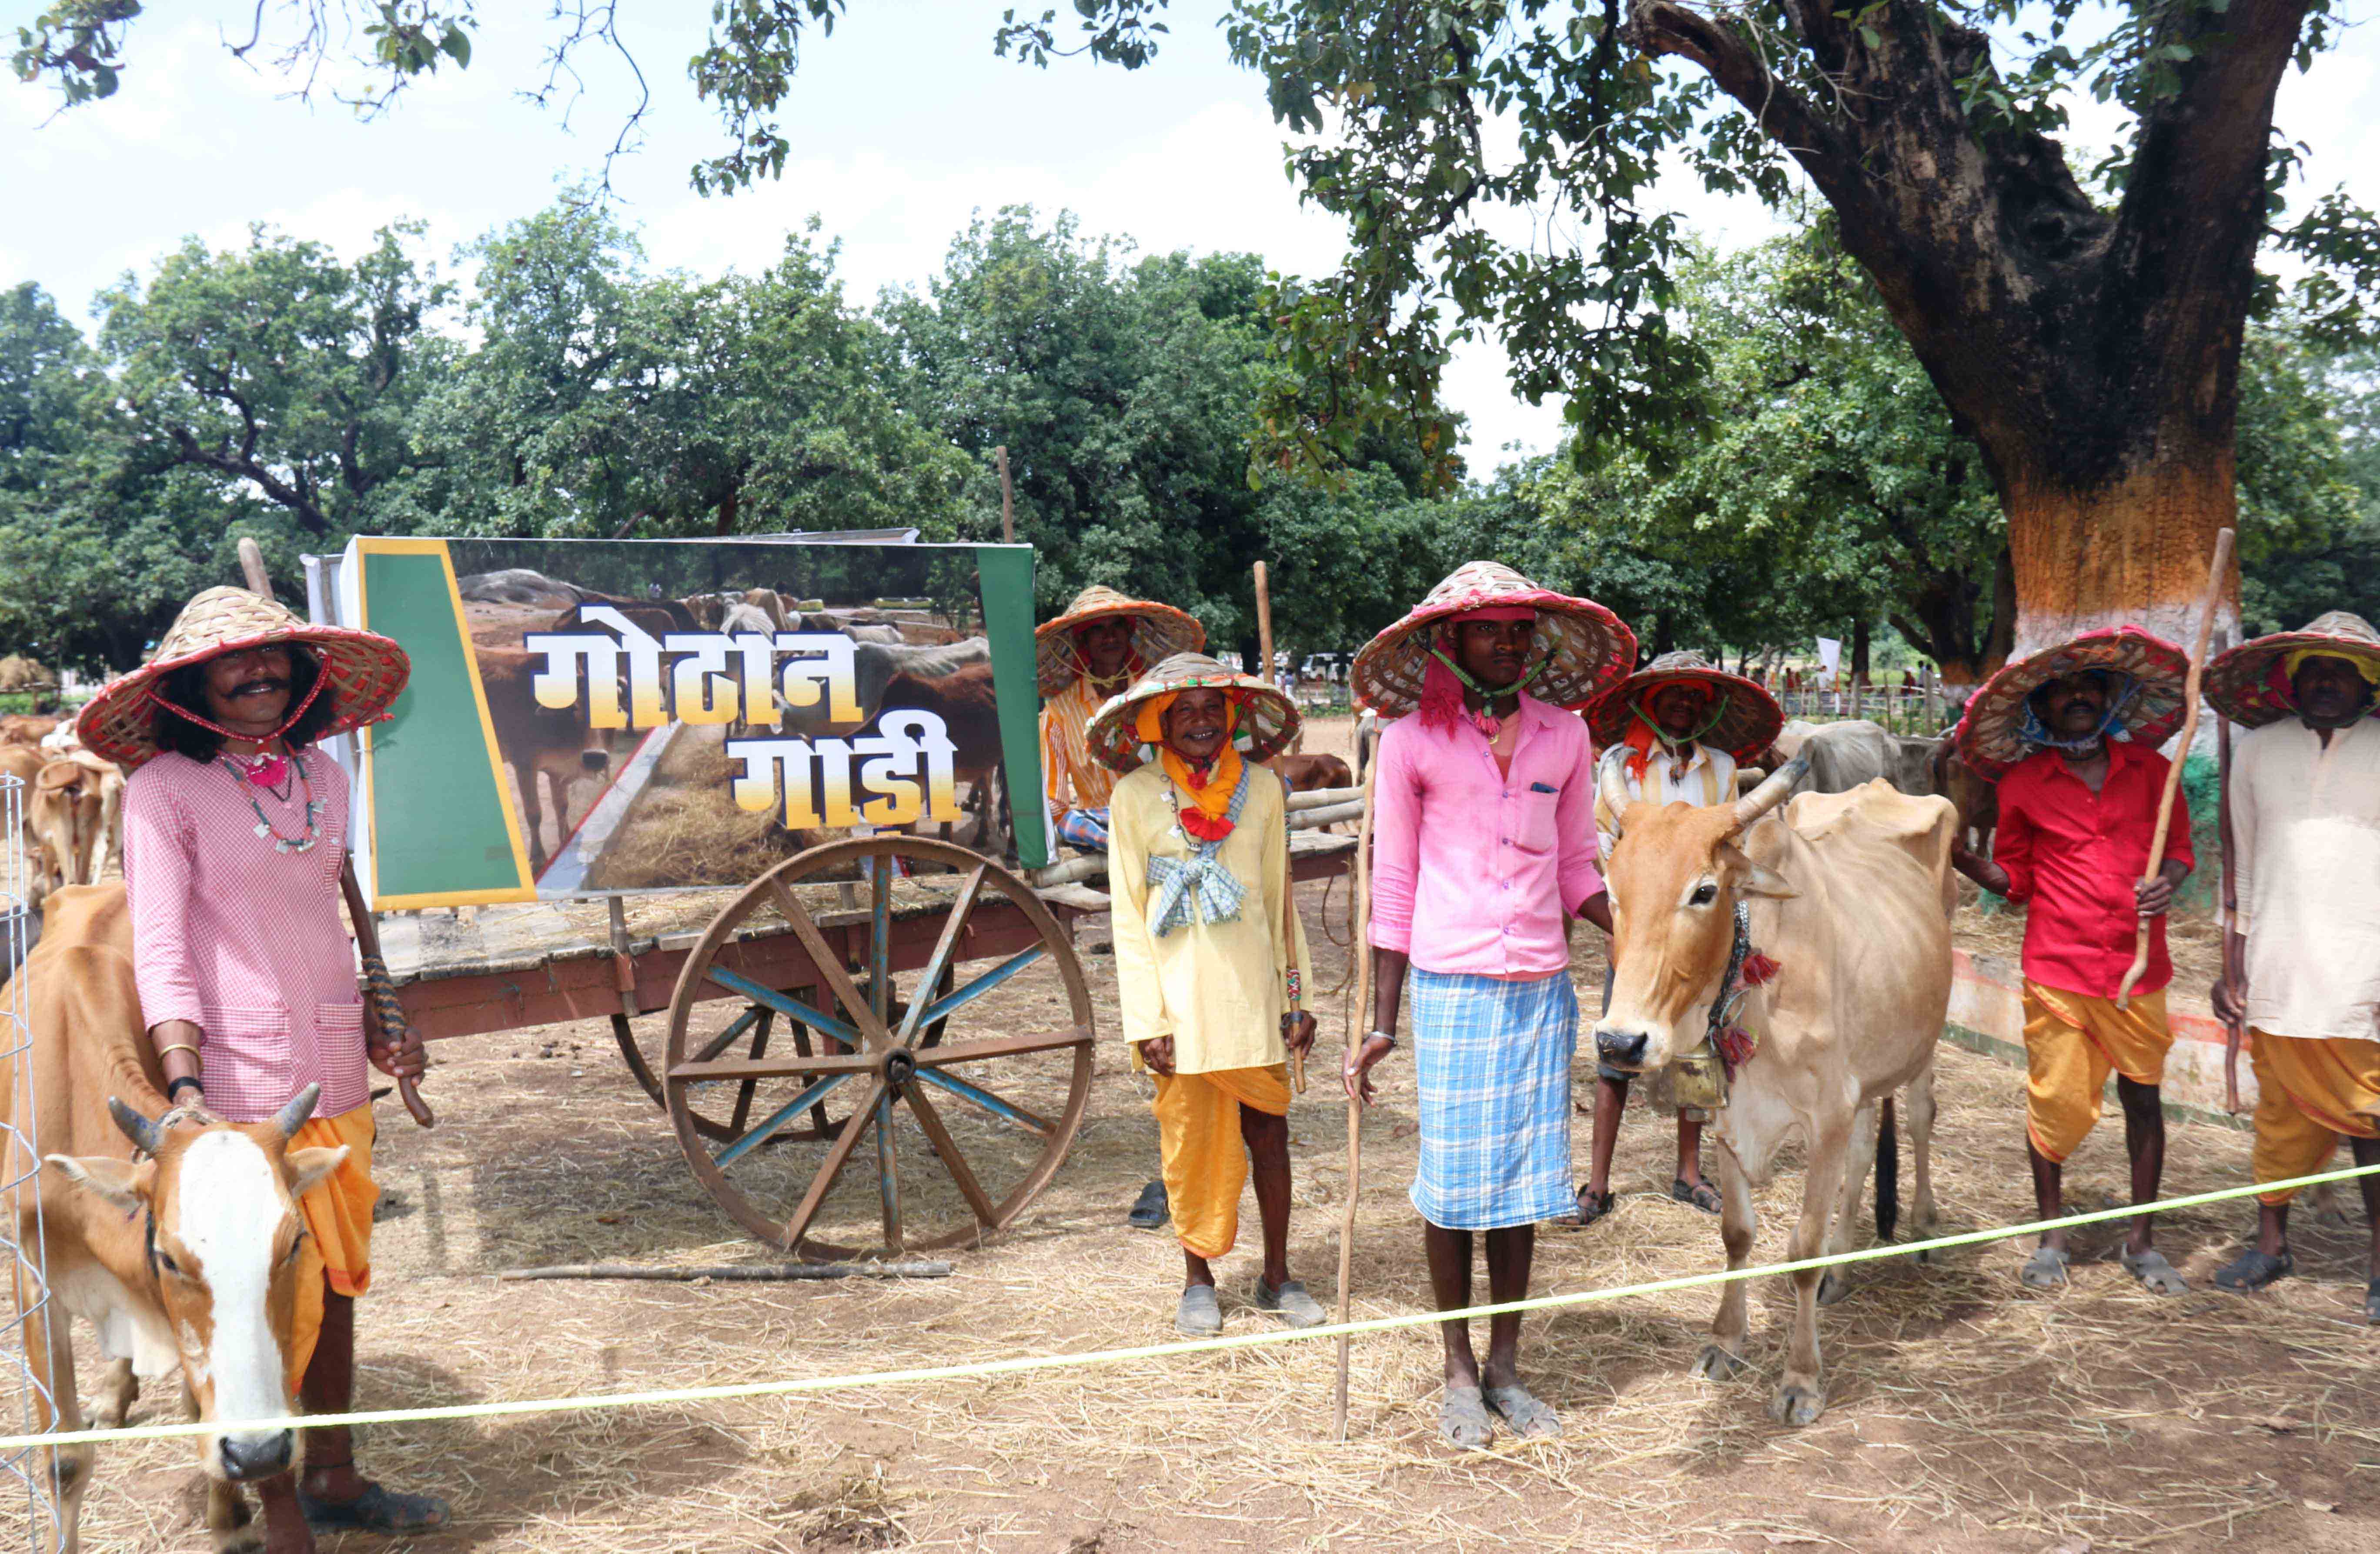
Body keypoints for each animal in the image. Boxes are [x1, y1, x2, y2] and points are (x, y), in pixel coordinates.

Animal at [1599, 757, 1952, 1427]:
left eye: (1703, 891)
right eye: (1613, 890)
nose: (1620, 1041)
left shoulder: (1827, 1113)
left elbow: (1802, 1247)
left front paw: (1801, 1378)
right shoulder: (1731, 1116)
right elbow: (1738, 1234)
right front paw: (1725, 1339)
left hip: (1922, 1045)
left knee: (1922, 1118)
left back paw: (1923, 1225)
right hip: (1863, 1081)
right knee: (1863, 1157)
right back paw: (1844, 1263)